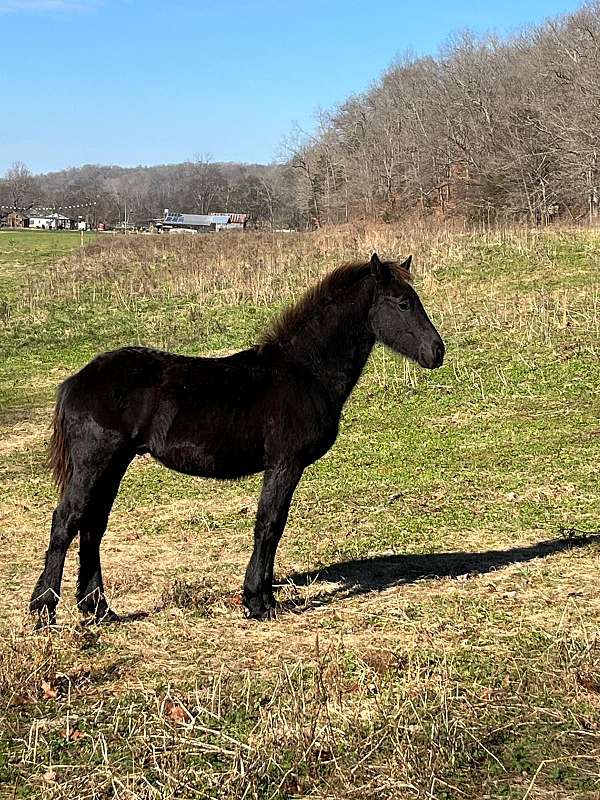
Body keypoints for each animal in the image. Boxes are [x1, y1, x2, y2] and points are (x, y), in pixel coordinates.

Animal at [30, 253, 442, 620]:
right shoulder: (285, 463)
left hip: (114, 465)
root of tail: (74, 382)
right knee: (66, 521)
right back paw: (44, 610)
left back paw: (98, 609)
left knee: (93, 526)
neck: (305, 371)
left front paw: (264, 597)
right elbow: (270, 523)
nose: (437, 351)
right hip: (95, 463)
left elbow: (274, 525)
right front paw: (258, 602)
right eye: (403, 303)